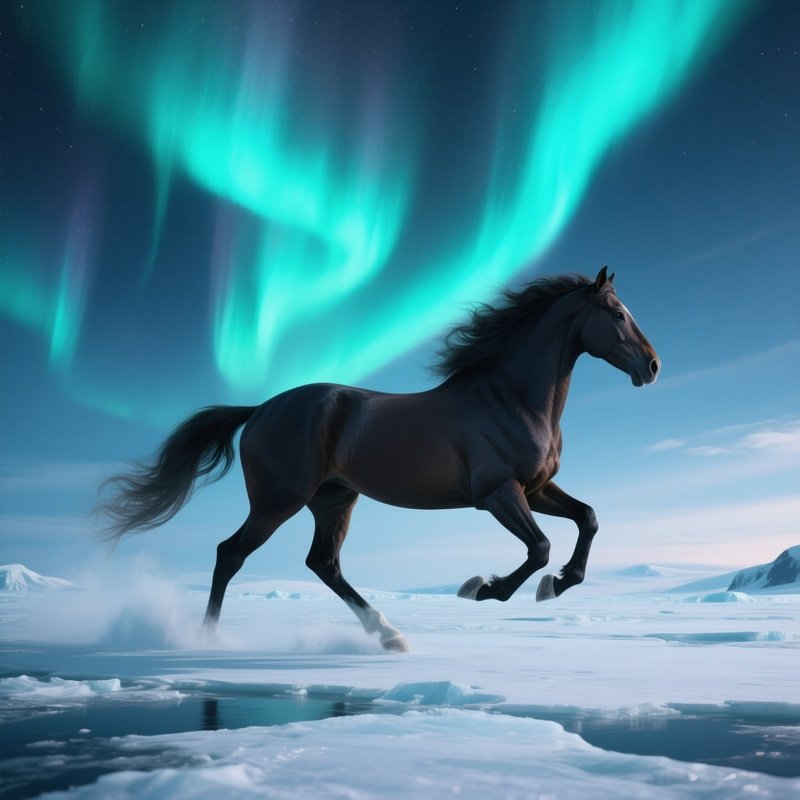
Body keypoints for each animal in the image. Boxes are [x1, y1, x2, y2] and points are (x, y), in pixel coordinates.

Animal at [99, 266, 659, 651]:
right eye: (616, 314)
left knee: (322, 563)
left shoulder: (537, 488)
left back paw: (390, 635)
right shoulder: (498, 493)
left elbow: (588, 519)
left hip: (334, 500)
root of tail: (260, 410)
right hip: (278, 502)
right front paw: (482, 589)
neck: (512, 397)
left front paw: (557, 585)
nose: (652, 366)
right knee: (229, 554)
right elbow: (540, 548)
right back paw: (207, 639)